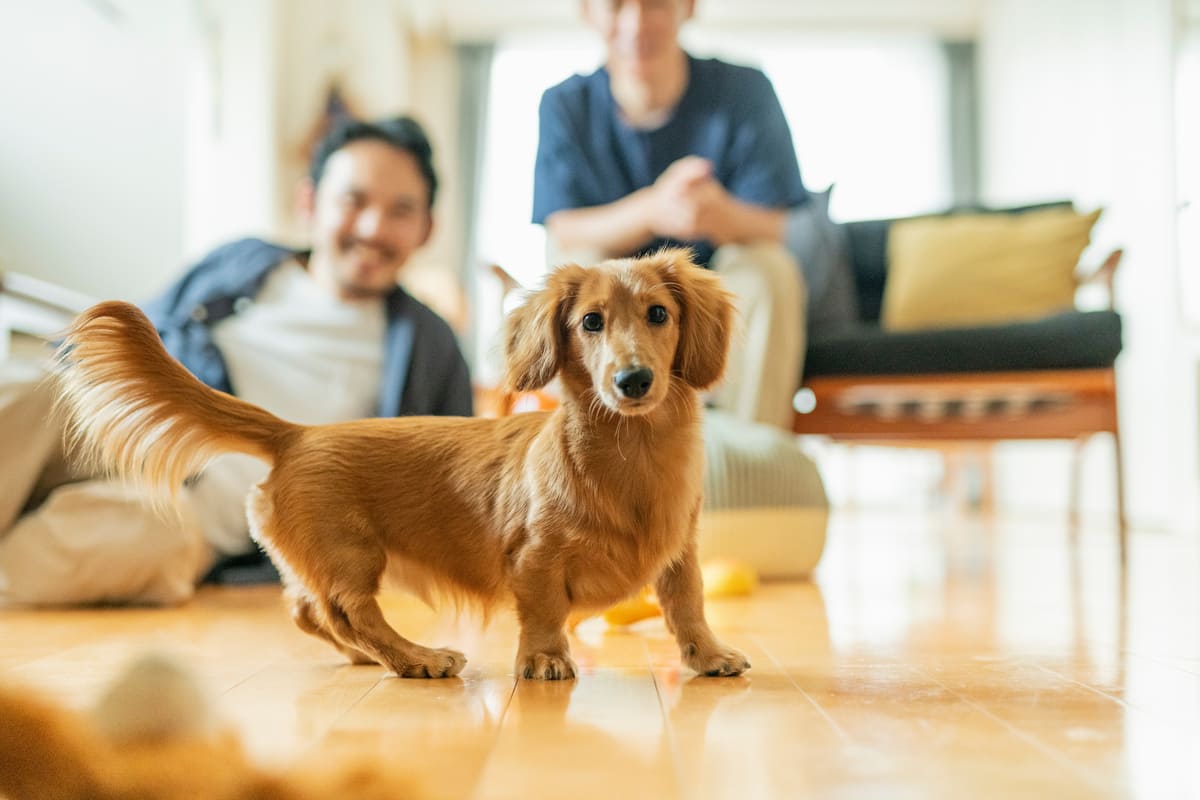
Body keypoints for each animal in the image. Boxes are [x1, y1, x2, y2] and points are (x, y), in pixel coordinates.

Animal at [58, 250, 748, 681]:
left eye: (659, 313)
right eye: (590, 322)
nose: (633, 381)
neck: (632, 455)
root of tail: (295, 434)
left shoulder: (680, 550)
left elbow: (687, 604)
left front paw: (707, 655)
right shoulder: (534, 558)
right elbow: (544, 613)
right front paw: (545, 660)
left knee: (307, 610)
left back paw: (372, 658)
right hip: (354, 553)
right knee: (346, 611)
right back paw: (415, 658)